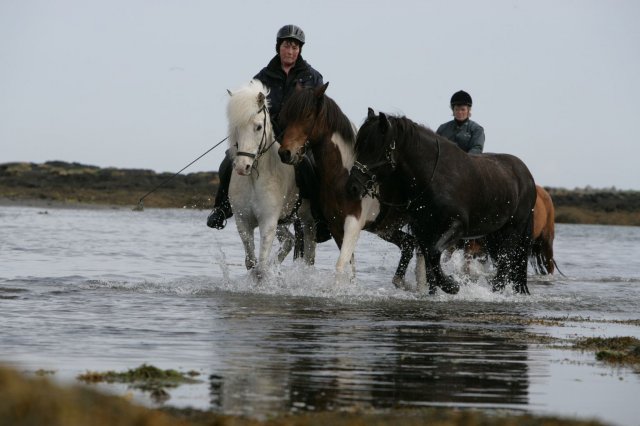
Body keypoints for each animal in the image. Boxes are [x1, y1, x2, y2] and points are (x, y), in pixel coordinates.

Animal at [226, 80, 316, 278]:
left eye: (259, 127)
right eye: (236, 127)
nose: (242, 167)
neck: (254, 178)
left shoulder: (268, 223)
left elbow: (260, 268)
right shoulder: (243, 222)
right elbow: (251, 263)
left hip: (307, 220)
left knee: (309, 252)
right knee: (289, 241)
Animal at [276, 83, 418, 286]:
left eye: (308, 116)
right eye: (287, 117)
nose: (286, 153)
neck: (343, 176)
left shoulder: (353, 223)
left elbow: (341, 264)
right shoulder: (337, 226)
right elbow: (349, 267)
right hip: (386, 228)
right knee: (409, 244)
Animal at [348, 110, 536, 294]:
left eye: (374, 147)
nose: (353, 187)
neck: (435, 177)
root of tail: (526, 174)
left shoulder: (456, 227)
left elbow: (434, 253)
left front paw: (451, 285)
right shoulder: (423, 230)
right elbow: (429, 262)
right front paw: (436, 291)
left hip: (513, 230)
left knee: (506, 263)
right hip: (494, 234)